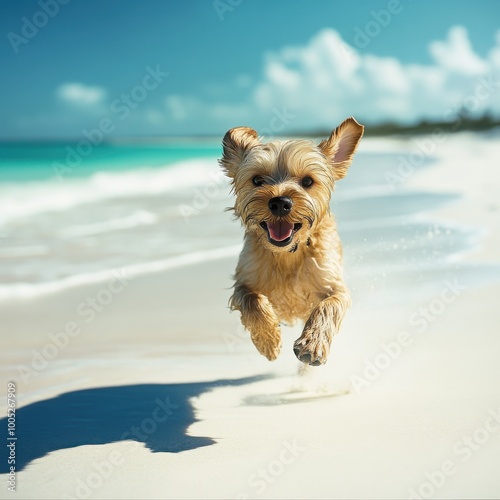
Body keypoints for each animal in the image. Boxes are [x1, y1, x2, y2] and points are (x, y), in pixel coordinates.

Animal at [221, 118, 366, 368]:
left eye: (307, 181)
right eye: (257, 180)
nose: (280, 202)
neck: (287, 255)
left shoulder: (335, 287)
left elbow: (327, 307)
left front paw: (312, 344)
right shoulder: (243, 283)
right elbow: (253, 302)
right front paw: (268, 342)